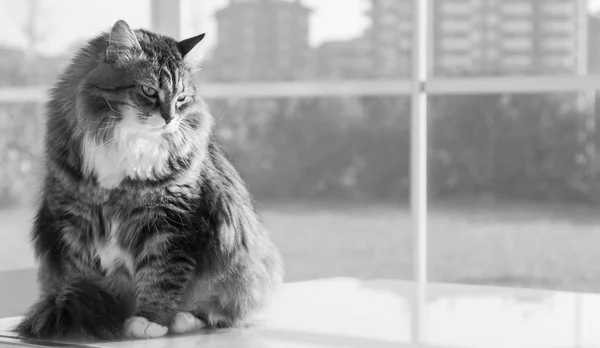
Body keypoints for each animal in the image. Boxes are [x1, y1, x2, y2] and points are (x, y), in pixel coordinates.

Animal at [14, 19, 284, 340]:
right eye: (148, 90)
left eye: (181, 98)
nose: (169, 118)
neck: (131, 142)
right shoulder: (74, 221)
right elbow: (82, 277)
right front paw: (93, 313)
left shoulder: (171, 221)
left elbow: (162, 275)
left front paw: (149, 320)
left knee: (217, 309)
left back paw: (183, 319)